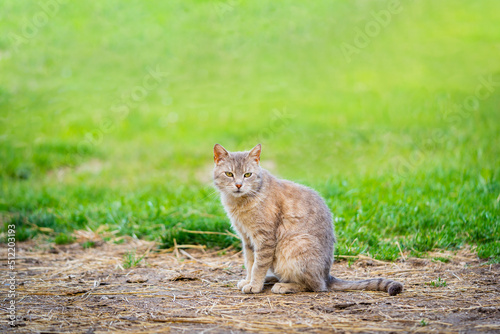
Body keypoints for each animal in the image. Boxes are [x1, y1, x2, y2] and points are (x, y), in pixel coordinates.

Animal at [213, 143, 404, 294]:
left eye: (247, 175)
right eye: (229, 174)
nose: (239, 185)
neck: (240, 202)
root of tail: (327, 277)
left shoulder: (264, 239)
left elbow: (258, 265)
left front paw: (254, 285)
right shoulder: (247, 239)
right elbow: (250, 262)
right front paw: (249, 280)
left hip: (296, 245)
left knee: (314, 286)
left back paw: (284, 286)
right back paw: (273, 279)